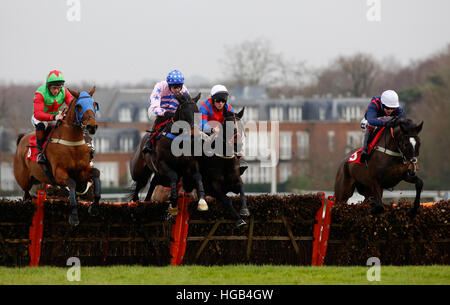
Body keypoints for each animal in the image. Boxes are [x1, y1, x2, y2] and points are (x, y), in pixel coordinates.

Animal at [14, 86, 102, 224]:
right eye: (79, 106)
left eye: (94, 104)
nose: (91, 126)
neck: (72, 143)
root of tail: (22, 138)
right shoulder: (58, 172)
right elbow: (71, 183)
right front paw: (74, 215)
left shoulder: (81, 172)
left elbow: (96, 173)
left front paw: (94, 207)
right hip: (24, 180)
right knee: (26, 194)